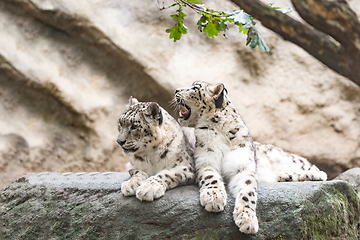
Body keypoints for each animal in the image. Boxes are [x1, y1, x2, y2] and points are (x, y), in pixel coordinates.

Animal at [173, 81, 328, 233]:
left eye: (194, 87)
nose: (176, 90)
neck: (218, 129)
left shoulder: (244, 166)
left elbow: (248, 191)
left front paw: (247, 220)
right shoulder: (205, 161)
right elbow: (211, 178)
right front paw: (214, 198)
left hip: (290, 159)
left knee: (317, 170)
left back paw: (309, 175)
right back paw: (284, 176)